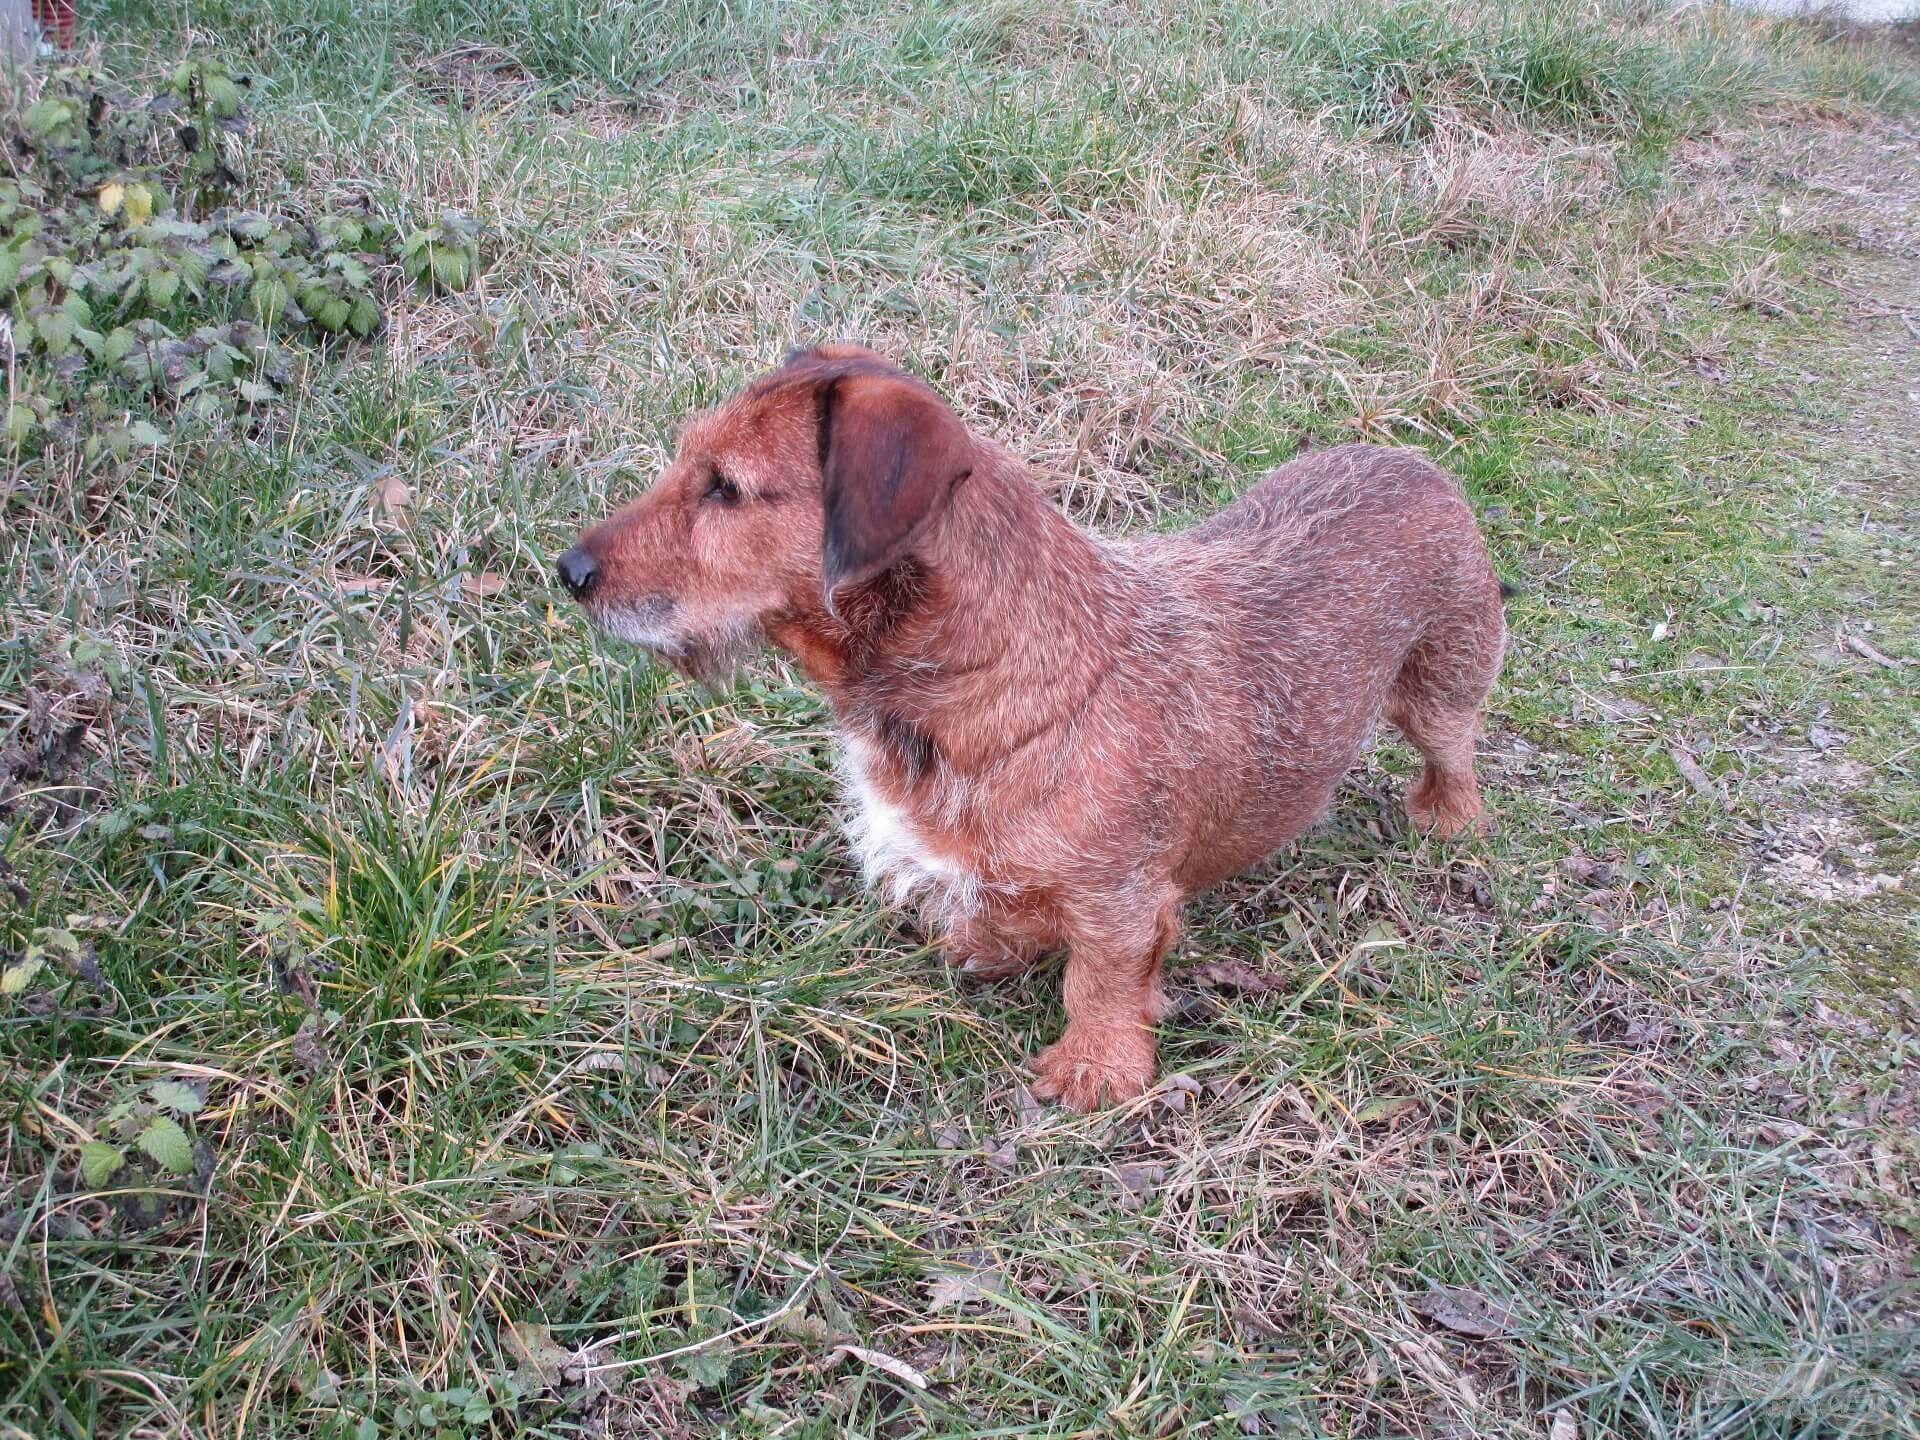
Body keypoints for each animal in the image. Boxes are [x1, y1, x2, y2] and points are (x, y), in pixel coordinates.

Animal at [560, 343, 1505, 1113]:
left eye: (725, 487)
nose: (567, 570)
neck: (997, 684)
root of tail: (1415, 461)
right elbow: (1002, 910)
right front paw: (987, 949)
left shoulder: (1121, 899)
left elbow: (1101, 979)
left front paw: (1098, 1067)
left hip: (1442, 683)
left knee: (1453, 749)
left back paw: (1447, 817)